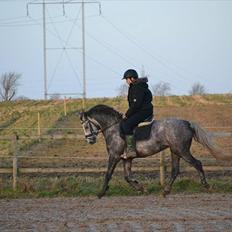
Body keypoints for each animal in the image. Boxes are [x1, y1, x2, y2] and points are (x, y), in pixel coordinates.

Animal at [79, 104, 223, 198]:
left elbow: (108, 174)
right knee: (175, 170)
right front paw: (142, 189)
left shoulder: (114, 156)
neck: (113, 128)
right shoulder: (126, 158)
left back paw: (207, 186)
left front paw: (101, 193)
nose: (90, 140)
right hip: (175, 151)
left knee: (197, 163)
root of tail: (187, 123)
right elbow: (127, 177)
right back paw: (166, 191)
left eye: (86, 126)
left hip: (182, 150)